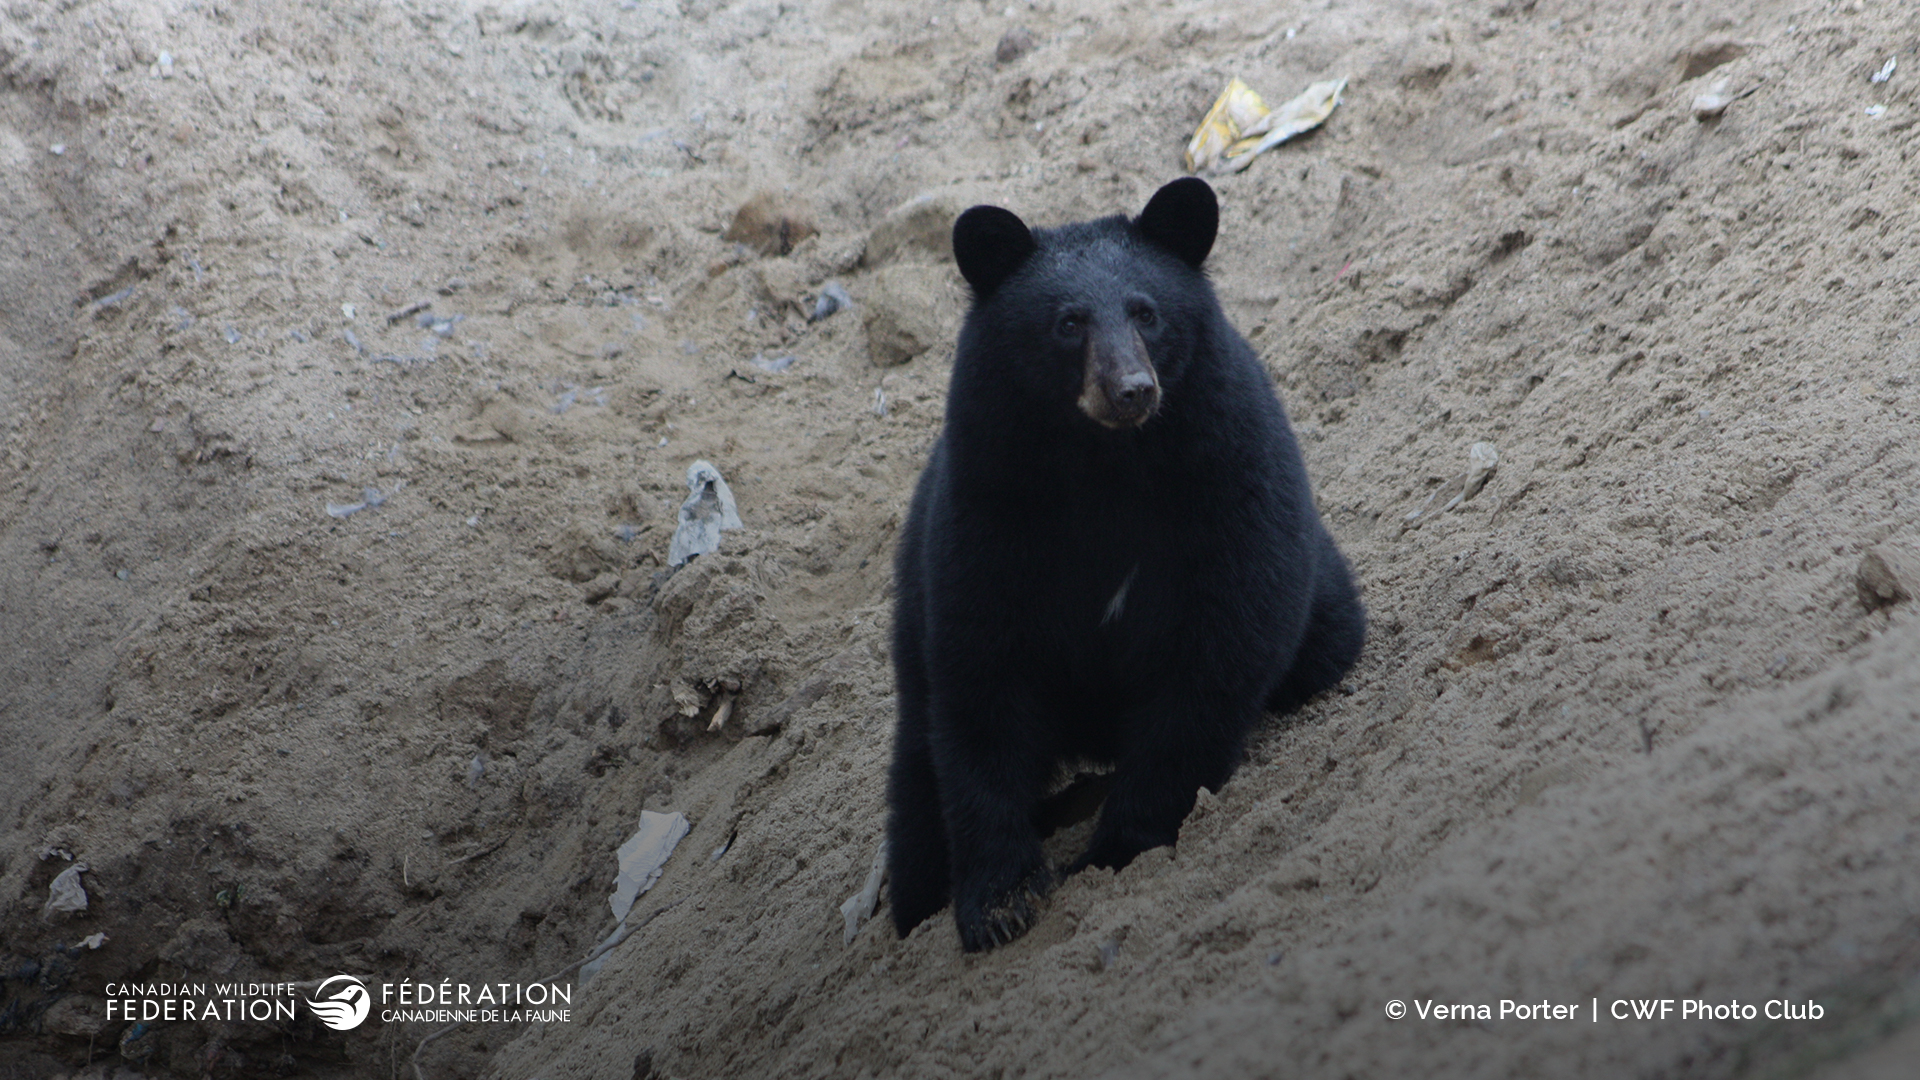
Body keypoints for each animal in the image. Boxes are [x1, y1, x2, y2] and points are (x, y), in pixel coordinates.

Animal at [886, 177, 1366, 952]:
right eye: (1068, 323)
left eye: (1146, 312)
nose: (1132, 389)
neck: (1106, 464)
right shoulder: (986, 511)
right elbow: (981, 686)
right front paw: (1000, 899)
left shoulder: (1230, 479)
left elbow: (1215, 655)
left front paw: (1118, 848)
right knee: (916, 770)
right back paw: (915, 897)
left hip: (1323, 612)